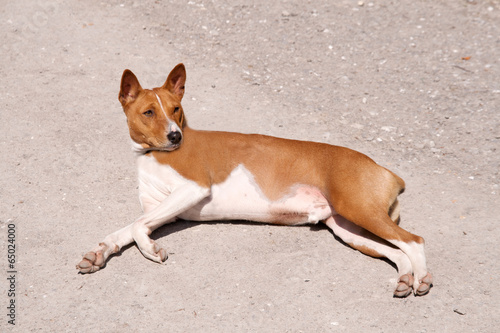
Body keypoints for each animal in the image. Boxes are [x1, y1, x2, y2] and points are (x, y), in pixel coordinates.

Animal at [76, 63, 432, 296]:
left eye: (176, 109)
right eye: (149, 112)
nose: (175, 136)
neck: (153, 155)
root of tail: (384, 169)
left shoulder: (192, 189)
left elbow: (137, 227)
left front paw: (151, 249)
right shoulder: (164, 210)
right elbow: (125, 230)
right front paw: (99, 253)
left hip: (358, 210)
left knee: (414, 240)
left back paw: (422, 278)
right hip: (348, 228)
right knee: (398, 251)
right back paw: (405, 278)